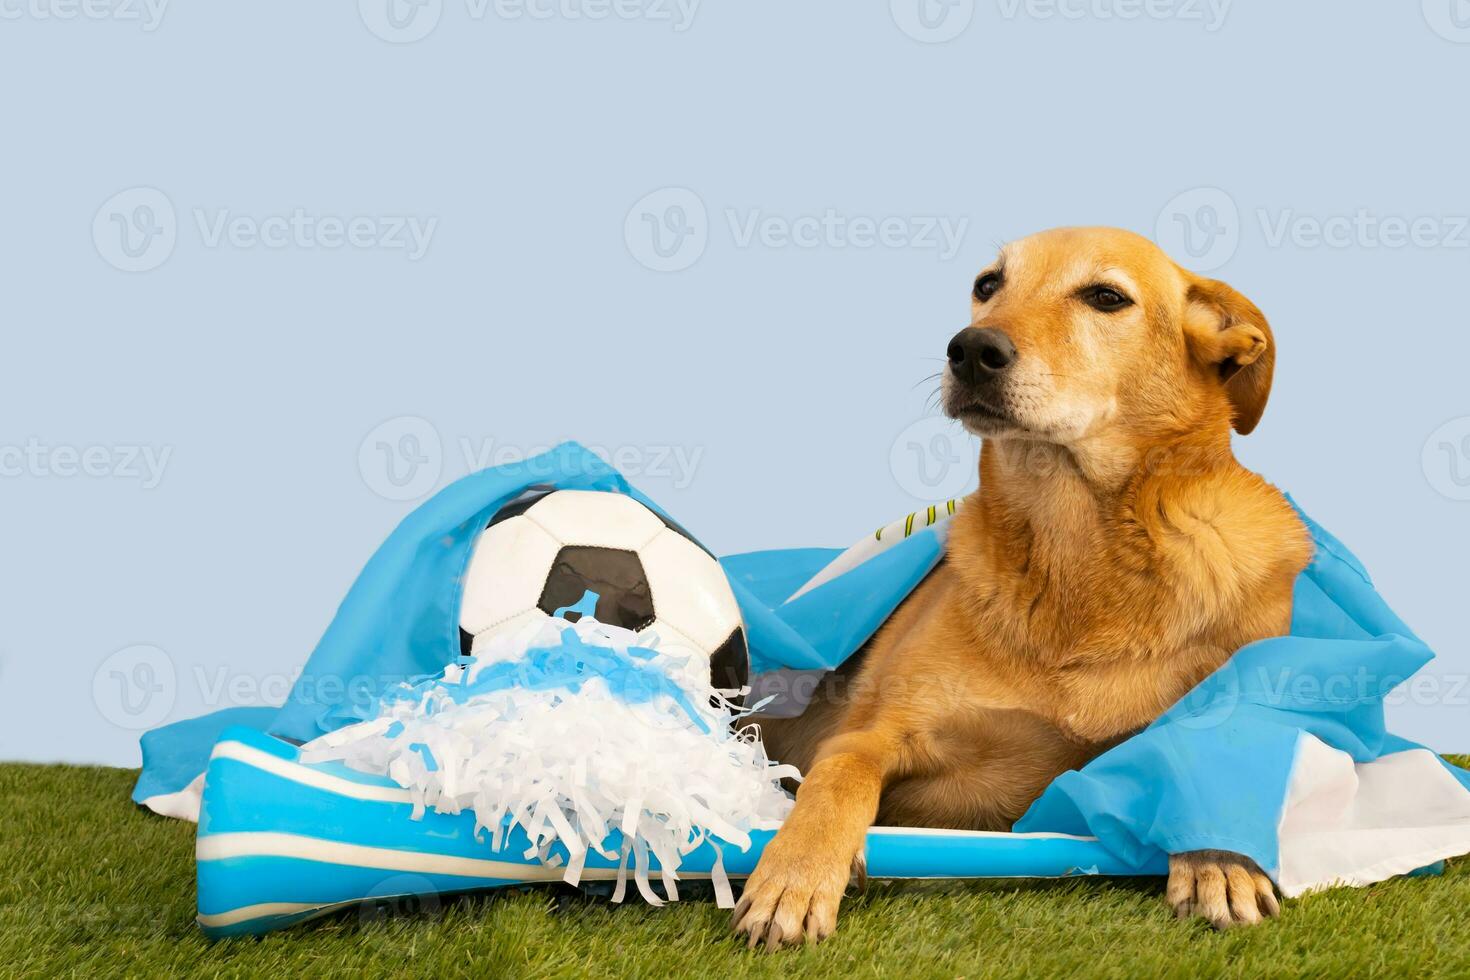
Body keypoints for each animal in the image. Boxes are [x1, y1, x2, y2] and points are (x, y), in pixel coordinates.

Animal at [729, 226, 1317, 946]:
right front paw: (797, 870)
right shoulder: (872, 735)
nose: (970, 350)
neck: (1075, 547)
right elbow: (840, 777)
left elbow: (1210, 756)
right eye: (988, 285)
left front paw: (1221, 860)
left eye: (1106, 296)